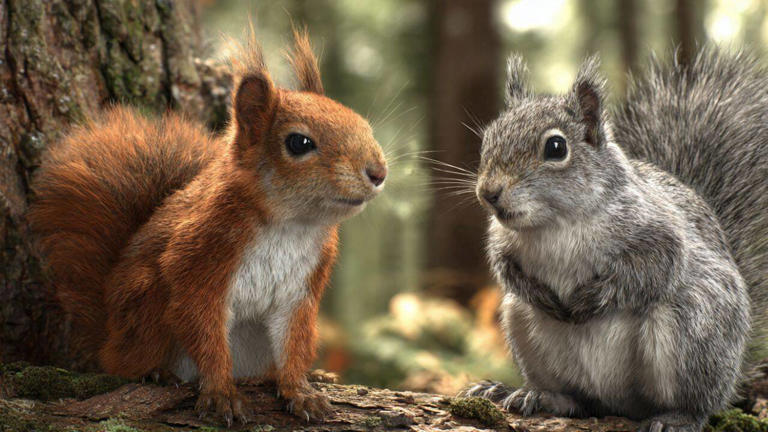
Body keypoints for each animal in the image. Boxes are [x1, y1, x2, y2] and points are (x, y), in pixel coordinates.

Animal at [28, 29, 387, 426]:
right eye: (299, 142)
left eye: (364, 126)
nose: (378, 172)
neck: (291, 225)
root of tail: (109, 336)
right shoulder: (199, 260)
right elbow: (205, 330)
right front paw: (220, 393)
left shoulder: (302, 291)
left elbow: (293, 342)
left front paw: (299, 389)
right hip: (146, 307)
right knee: (124, 363)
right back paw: (154, 371)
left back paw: (303, 374)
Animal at [462, 48, 768, 432]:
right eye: (489, 137)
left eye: (556, 147)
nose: (488, 192)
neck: (554, 223)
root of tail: (619, 403)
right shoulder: (503, 243)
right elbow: (506, 269)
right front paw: (542, 295)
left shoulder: (660, 232)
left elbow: (654, 268)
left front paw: (592, 298)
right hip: (520, 322)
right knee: (580, 400)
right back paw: (535, 394)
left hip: (693, 329)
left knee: (699, 403)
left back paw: (678, 416)